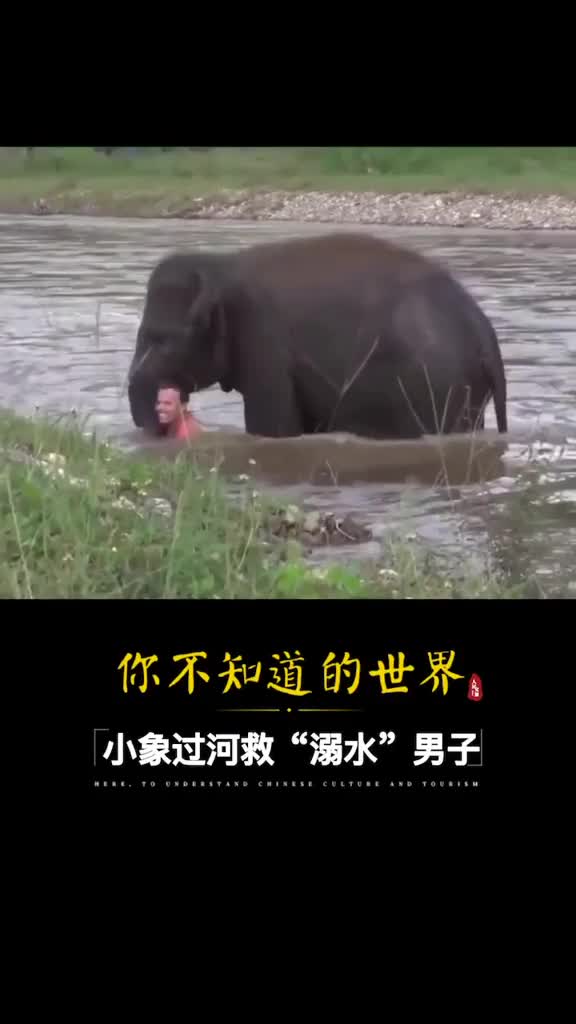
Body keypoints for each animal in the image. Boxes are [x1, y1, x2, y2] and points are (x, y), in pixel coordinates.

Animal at [127, 232, 508, 440]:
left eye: (160, 339)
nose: (167, 406)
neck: (221, 265)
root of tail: (484, 330)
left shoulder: (264, 339)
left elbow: (275, 427)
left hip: (436, 386)